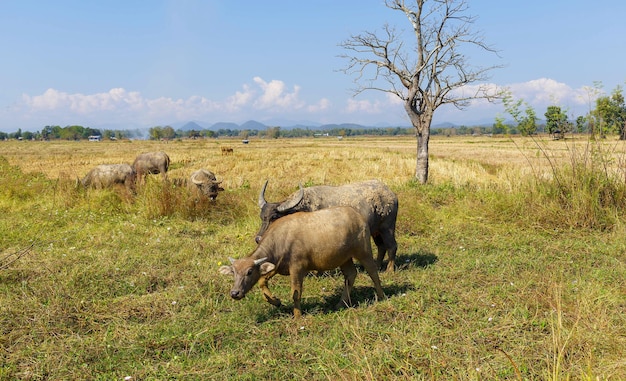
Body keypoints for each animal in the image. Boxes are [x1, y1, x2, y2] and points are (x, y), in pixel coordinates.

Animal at [219, 206, 386, 316]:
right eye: (233, 272)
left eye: (249, 272)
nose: (235, 293)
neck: (281, 239)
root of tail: (358, 216)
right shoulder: (276, 266)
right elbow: (261, 281)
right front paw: (275, 301)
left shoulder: (297, 268)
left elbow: (295, 293)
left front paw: (297, 316)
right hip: (344, 258)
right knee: (351, 274)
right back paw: (341, 303)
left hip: (363, 251)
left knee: (372, 271)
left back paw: (381, 296)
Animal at [256, 180, 398, 272]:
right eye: (262, 216)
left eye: (274, 217)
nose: (258, 238)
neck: (304, 208)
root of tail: (391, 194)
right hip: (376, 231)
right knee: (381, 247)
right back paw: (378, 266)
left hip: (387, 228)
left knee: (392, 246)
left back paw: (389, 270)